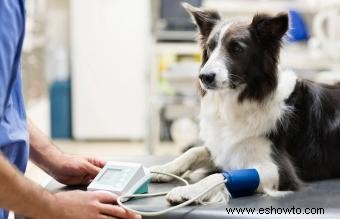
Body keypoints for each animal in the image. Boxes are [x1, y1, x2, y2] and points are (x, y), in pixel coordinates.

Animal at [151, 3, 340, 205]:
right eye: (210, 48)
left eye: (236, 49)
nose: (204, 77)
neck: (243, 99)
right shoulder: (224, 150)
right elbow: (193, 151)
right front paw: (164, 168)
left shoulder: (280, 171)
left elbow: (219, 176)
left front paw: (190, 190)